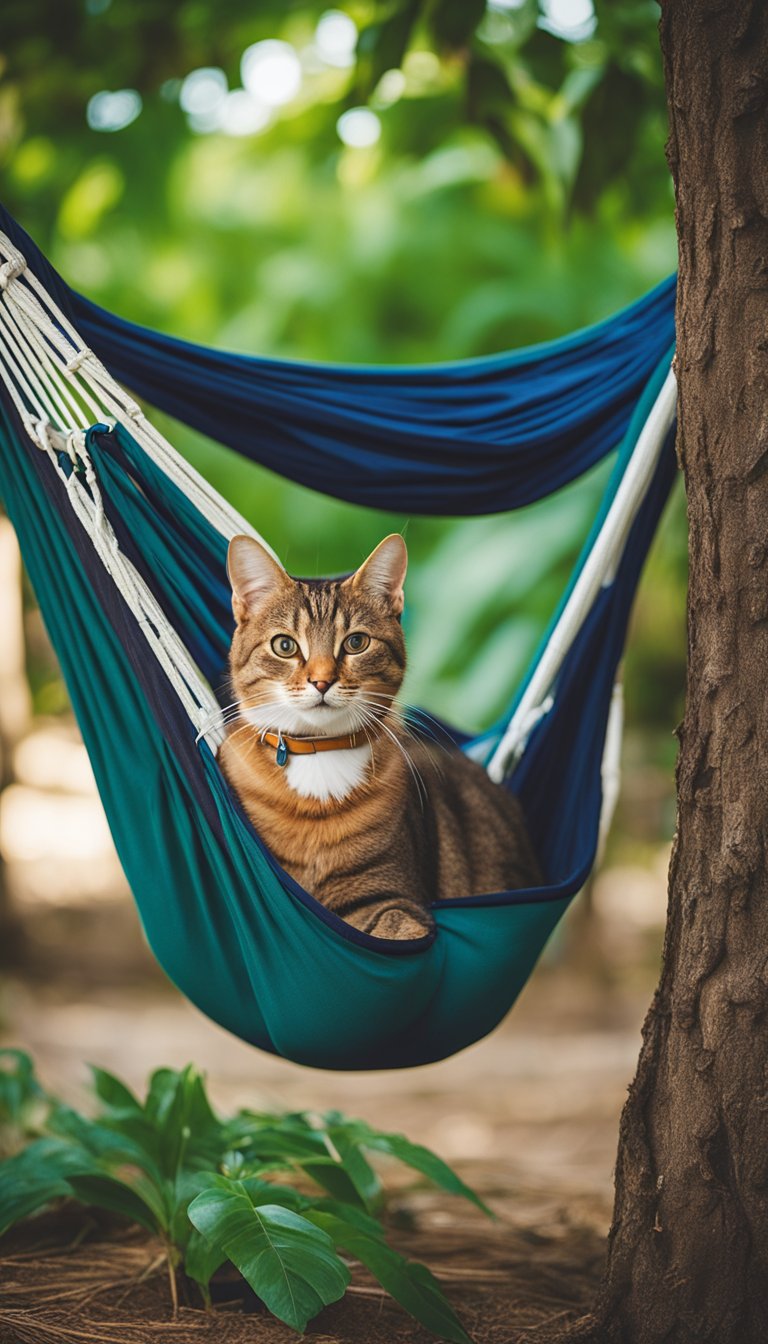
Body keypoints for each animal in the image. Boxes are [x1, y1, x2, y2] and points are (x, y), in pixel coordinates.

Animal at [216, 529, 543, 940]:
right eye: (285, 645)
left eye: (356, 642)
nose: (321, 681)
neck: (320, 757)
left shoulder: (389, 897)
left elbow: (397, 927)